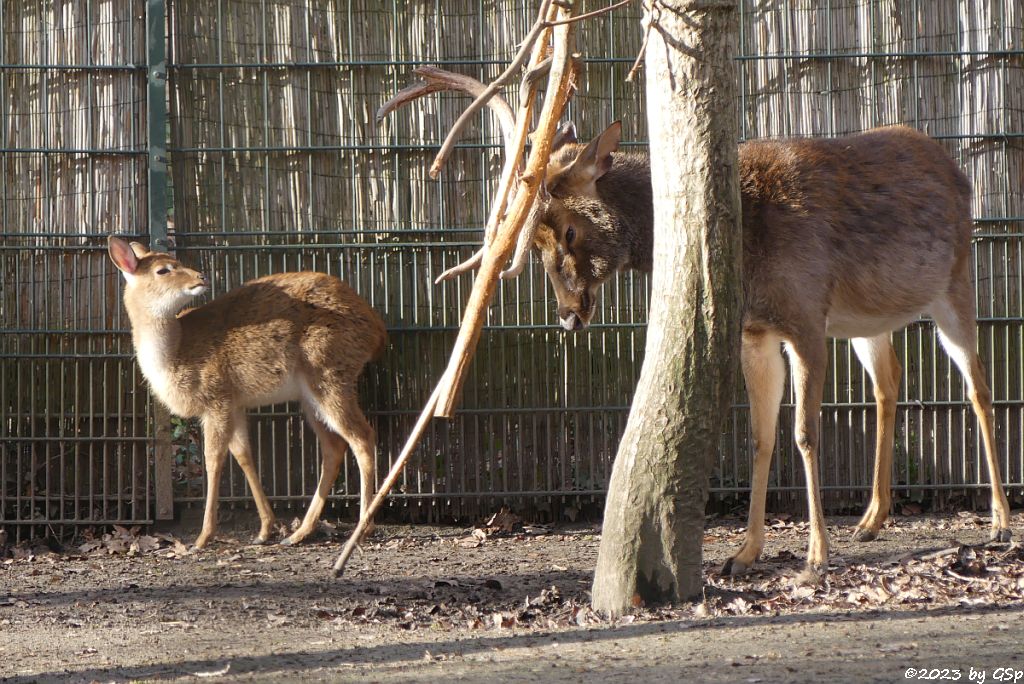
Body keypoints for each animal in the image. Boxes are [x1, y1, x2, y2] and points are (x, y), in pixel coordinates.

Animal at [108, 237, 387, 548]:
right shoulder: (235, 404)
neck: (174, 354)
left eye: (176, 262)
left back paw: (363, 527)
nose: (201, 277)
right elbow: (243, 455)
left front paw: (202, 537)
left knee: (363, 437)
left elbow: (213, 460)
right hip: (310, 396)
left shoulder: (217, 400)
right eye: (163, 269)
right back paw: (299, 533)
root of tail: (377, 330)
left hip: (330, 377)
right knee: (334, 446)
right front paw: (265, 529)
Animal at [385, 66, 1015, 581]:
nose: (567, 316)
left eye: (565, 230)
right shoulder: (756, 332)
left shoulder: (806, 319)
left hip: (955, 284)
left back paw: (1001, 522)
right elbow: (760, 434)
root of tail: (960, 173)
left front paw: (814, 559)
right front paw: (745, 553)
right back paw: (872, 519)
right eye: (534, 242)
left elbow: (804, 434)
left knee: (979, 387)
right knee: (889, 385)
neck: (750, 245)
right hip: (869, 319)